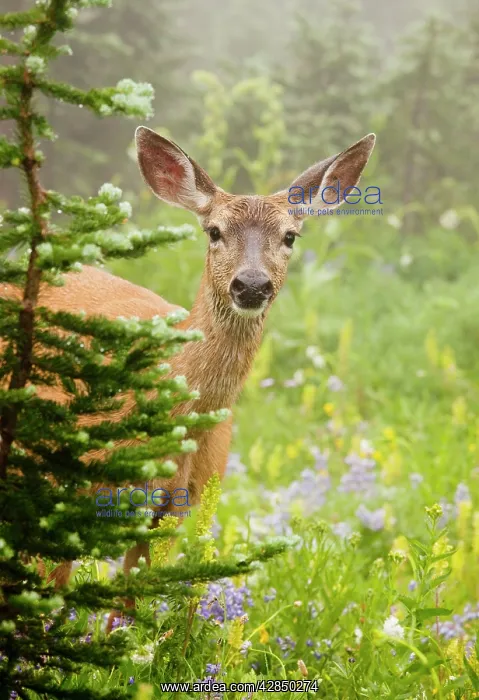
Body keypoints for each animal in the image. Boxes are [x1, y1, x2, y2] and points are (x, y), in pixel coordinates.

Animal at [1, 127, 376, 605]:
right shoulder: (56, 490)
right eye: (214, 230)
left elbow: (130, 609)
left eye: (291, 236)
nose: (251, 285)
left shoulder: (175, 506)